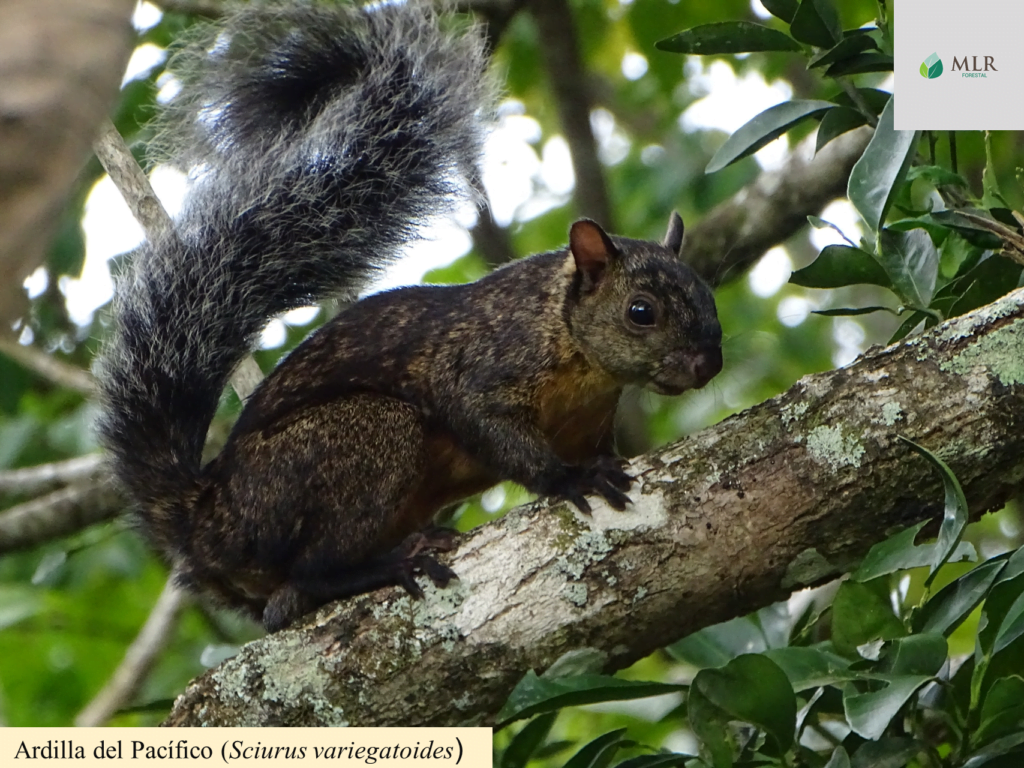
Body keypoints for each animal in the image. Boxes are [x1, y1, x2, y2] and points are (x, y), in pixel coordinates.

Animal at [94, 0, 720, 634]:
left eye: (708, 296)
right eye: (641, 312)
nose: (706, 364)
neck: (582, 362)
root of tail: (207, 523)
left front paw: (599, 464)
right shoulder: (484, 363)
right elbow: (488, 424)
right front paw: (571, 478)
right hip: (359, 439)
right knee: (312, 573)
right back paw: (391, 564)